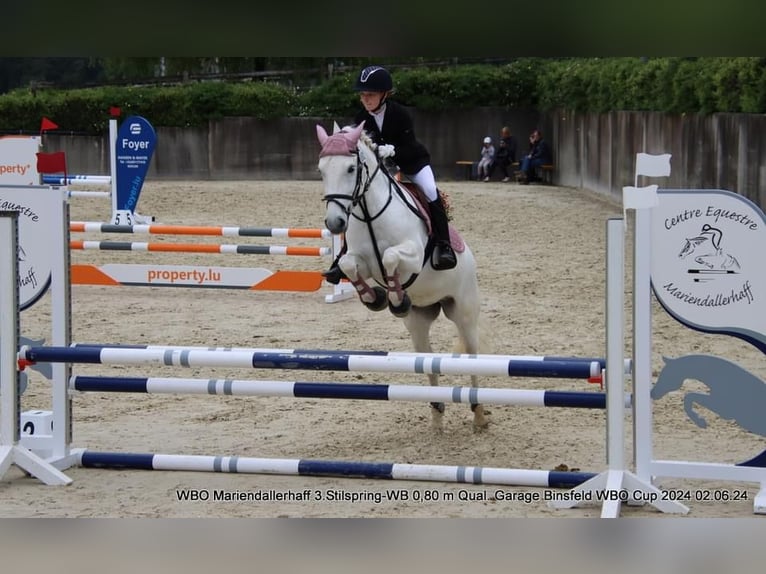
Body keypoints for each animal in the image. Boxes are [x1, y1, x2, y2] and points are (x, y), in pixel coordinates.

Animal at [316, 124, 488, 434]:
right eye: (321, 170)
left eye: (350, 168)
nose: (335, 223)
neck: (369, 213)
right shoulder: (359, 261)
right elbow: (348, 265)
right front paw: (376, 298)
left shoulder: (413, 255)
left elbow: (390, 259)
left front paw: (395, 299)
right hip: (419, 321)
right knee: (428, 361)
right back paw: (437, 414)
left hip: (464, 312)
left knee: (472, 357)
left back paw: (478, 414)